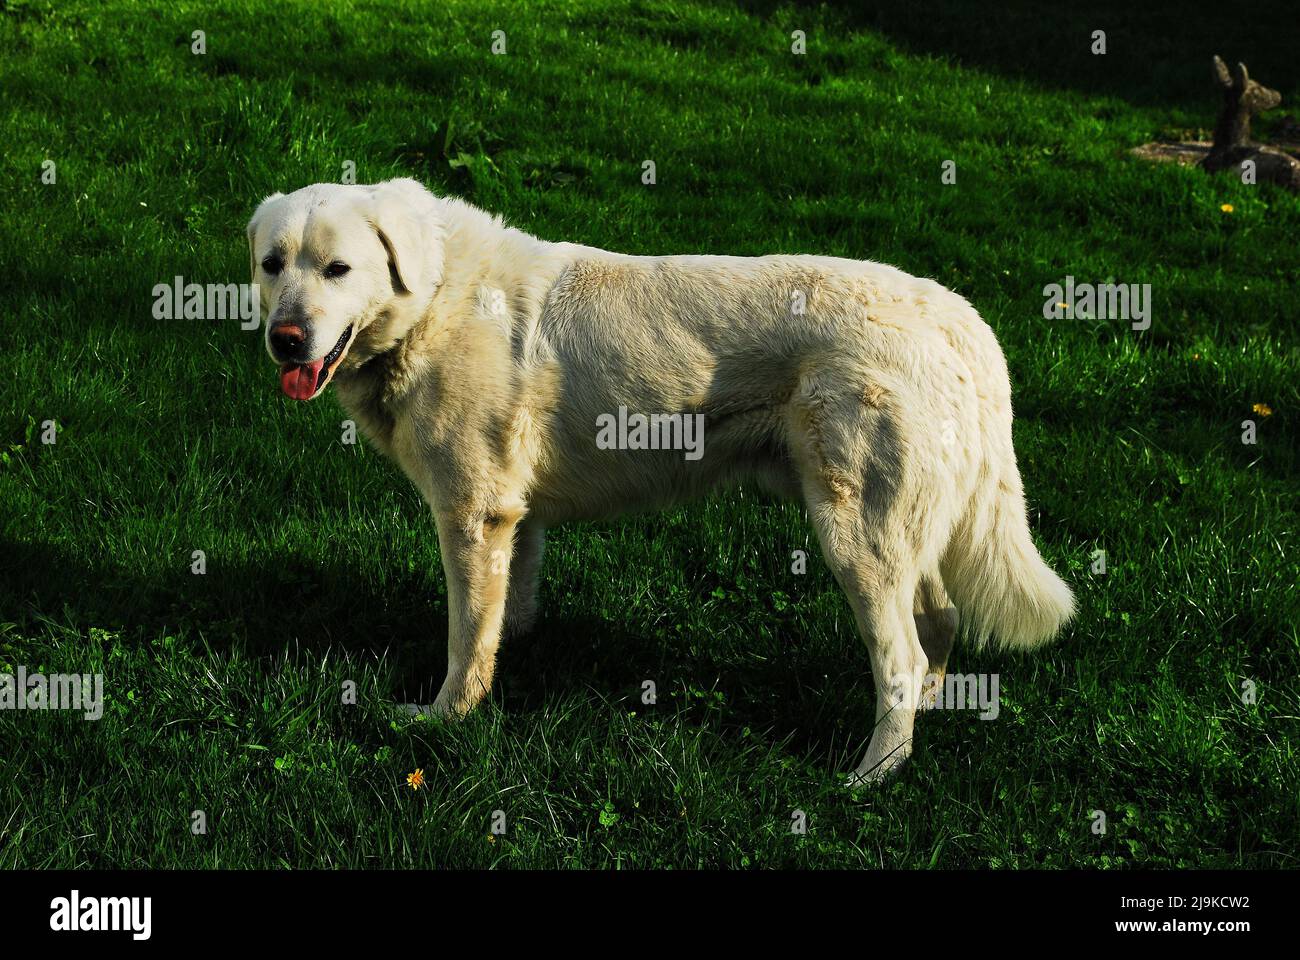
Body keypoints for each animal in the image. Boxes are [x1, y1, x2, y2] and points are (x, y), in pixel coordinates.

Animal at [245, 175, 1076, 780]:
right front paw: (508, 672)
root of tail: (960, 318)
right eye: (271, 265)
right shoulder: (515, 516)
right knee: (937, 624)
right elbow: (508, 613)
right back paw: (923, 724)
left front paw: (446, 719)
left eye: (339, 269)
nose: (285, 339)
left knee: (900, 657)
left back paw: (870, 777)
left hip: (855, 537)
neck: (433, 299)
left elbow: (465, 637)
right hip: (902, 530)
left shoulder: (472, 515)